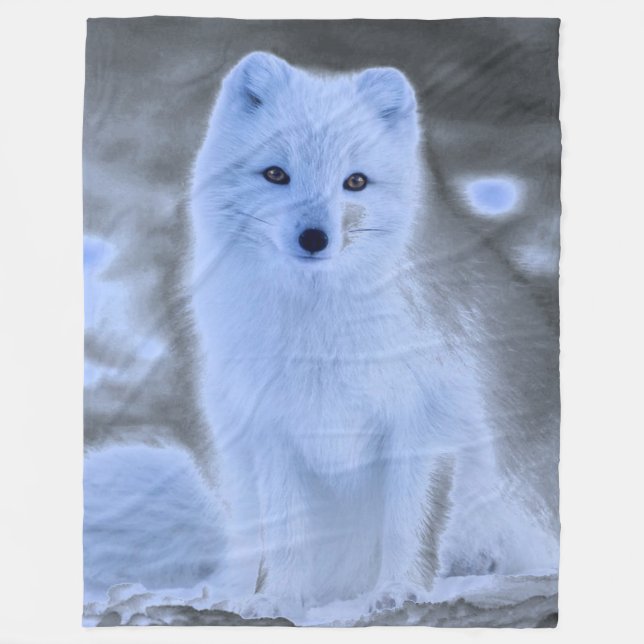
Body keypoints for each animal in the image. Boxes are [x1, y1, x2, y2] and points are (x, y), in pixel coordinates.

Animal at [189, 51, 558, 618]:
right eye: (275, 174)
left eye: (356, 182)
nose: (314, 238)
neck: (323, 331)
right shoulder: (274, 430)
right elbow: (289, 534)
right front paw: (278, 600)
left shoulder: (423, 423)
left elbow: (409, 523)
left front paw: (399, 593)